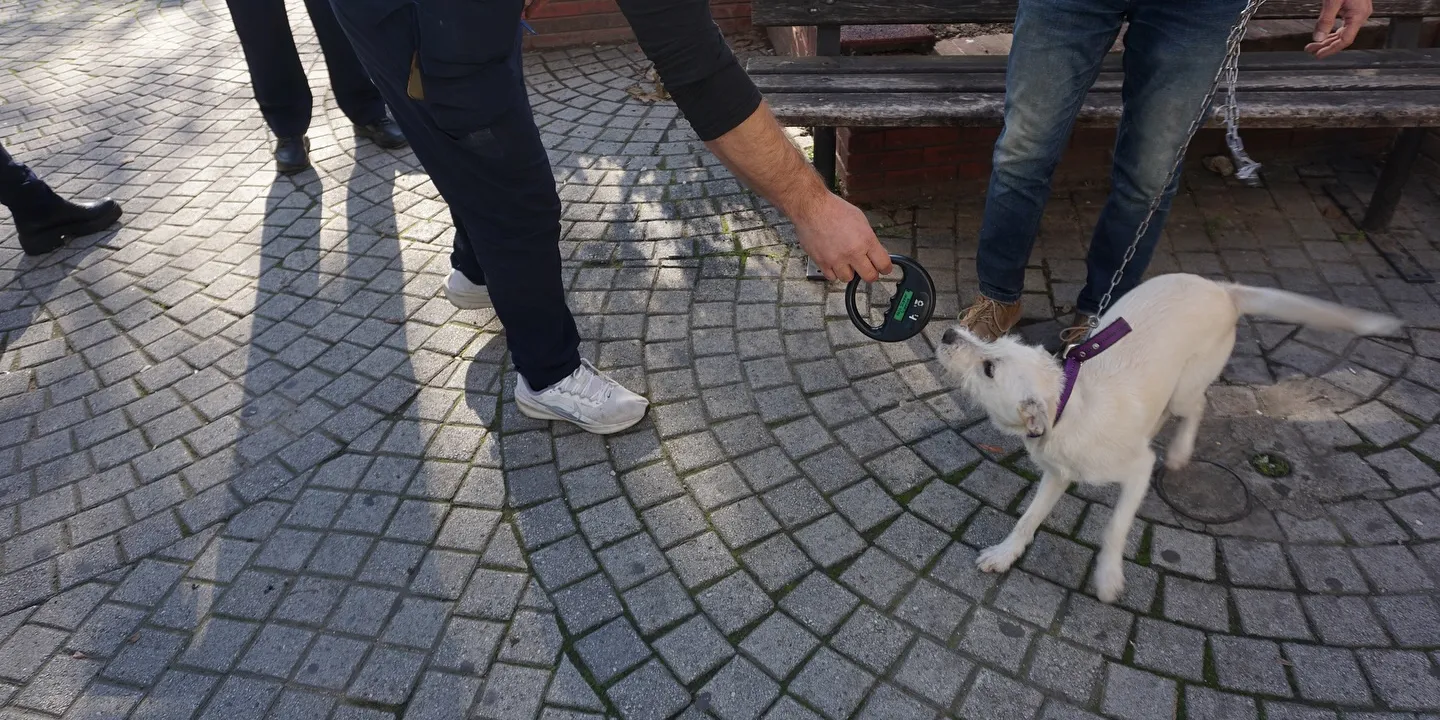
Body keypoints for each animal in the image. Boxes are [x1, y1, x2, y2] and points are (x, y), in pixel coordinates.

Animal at [935, 273, 1404, 602]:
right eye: (999, 344)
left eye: (989, 369)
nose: (947, 333)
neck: (1068, 407)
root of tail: (1223, 289)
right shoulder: (1057, 474)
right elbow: (1028, 518)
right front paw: (1004, 554)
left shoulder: (1137, 470)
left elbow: (1115, 527)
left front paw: (1108, 577)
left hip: (1187, 386)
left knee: (1196, 406)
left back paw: (1178, 451)